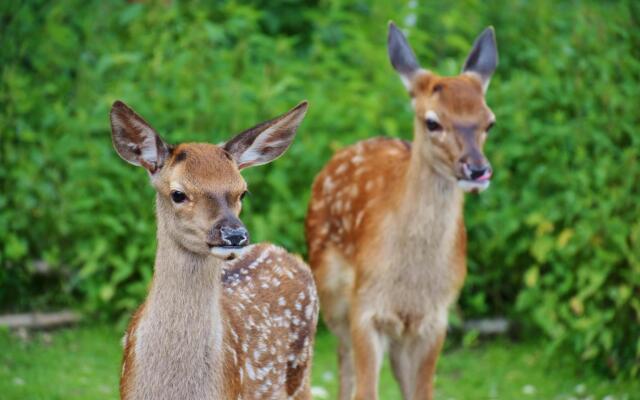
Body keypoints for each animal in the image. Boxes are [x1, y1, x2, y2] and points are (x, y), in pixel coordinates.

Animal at [304, 22, 500, 400]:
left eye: (489, 121)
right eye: (432, 122)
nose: (477, 170)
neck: (411, 283)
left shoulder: (435, 319)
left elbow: (422, 392)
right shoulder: (366, 308)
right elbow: (366, 391)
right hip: (332, 293)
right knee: (343, 361)